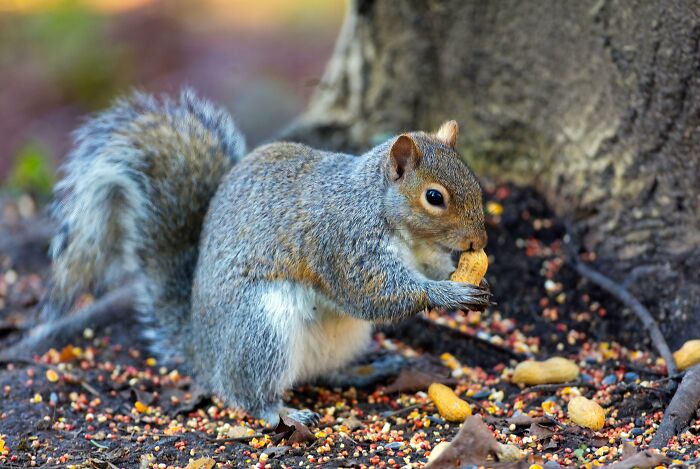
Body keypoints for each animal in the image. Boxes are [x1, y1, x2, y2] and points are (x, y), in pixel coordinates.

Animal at [45, 89, 490, 426]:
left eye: (473, 177)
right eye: (434, 197)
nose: (479, 240)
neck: (381, 208)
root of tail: (204, 353)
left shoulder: (419, 252)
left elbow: (429, 268)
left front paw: (466, 276)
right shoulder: (343, 242)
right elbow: (374, 292)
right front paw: (448, 294)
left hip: (342, 338)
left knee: (326, 371)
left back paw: (366, 371)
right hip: (260, 329)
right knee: (246, 394)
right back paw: (282, 412)